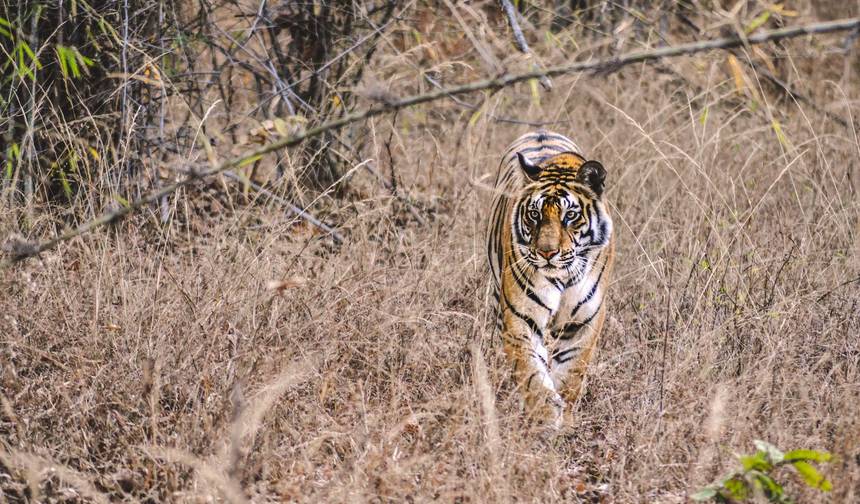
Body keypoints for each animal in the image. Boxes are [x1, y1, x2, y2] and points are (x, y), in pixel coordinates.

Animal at [486, 130, 615, 430]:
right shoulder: (520, 318)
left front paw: (564, 420)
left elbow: (571, 373)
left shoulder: (584, 323)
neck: (564, 275)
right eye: (535, 214)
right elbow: (531, 373)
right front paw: (544, 416)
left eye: (571, 215)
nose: (547, 253)